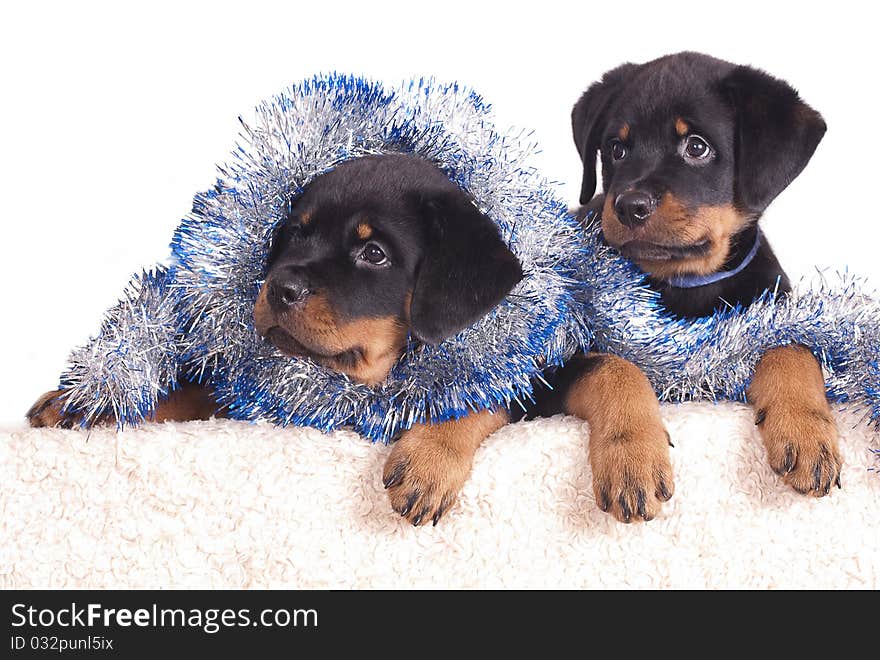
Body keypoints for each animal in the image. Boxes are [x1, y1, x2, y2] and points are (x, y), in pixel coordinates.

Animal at [27, 153, 524, 524]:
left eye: (374, 253)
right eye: (295, 234)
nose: (279, 288)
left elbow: (478, 395)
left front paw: (429, 461)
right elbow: (191, 390)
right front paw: (83, 402)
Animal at [572, 50, 840, 496]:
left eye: (696, 147)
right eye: (616, 149)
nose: (629, 206)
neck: (685, 283)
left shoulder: (772, 307)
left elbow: (792, 349)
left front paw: (806, 432)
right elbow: (612, 367)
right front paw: (632, 459)